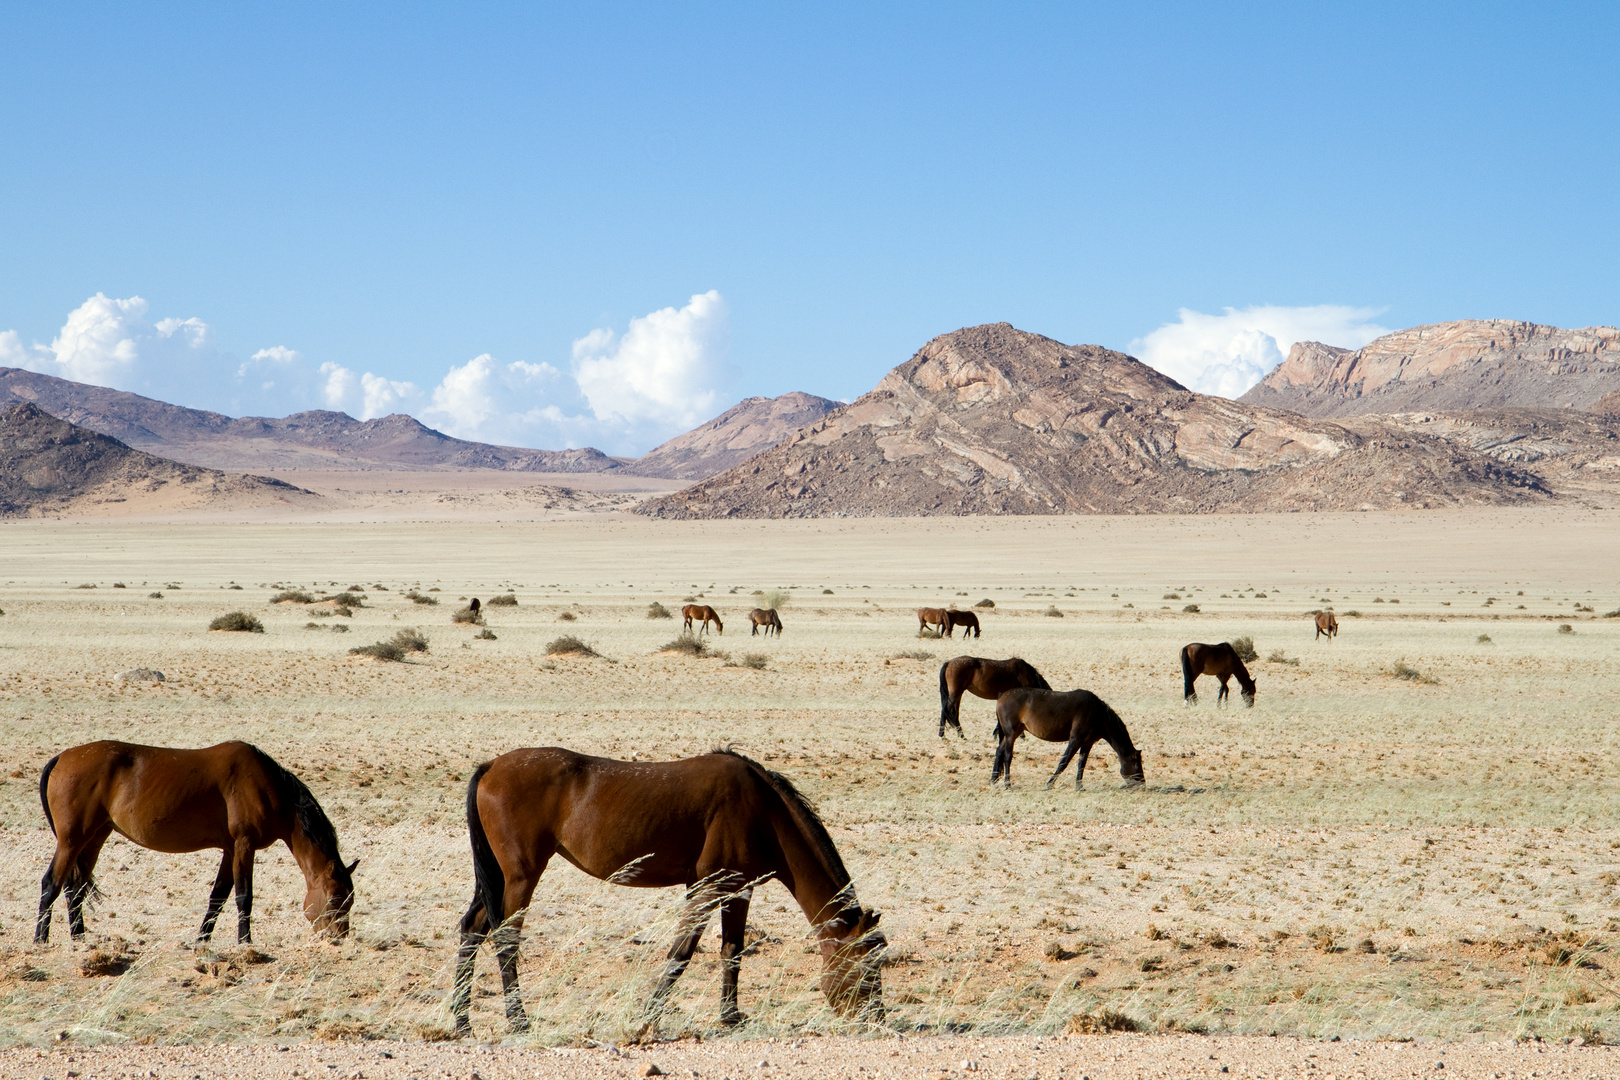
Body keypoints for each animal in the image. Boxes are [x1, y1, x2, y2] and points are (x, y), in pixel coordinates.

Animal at [34, 744, 358, 945]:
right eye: (333, 899)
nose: (337, 937)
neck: (266, 786)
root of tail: (61, 758)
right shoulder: (244, 845)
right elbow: (244, 897)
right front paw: (245, 942)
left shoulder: (230, 849)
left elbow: (218, 897)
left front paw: (202, 940)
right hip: (72, 840)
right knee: (52, 883)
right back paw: (40, 940)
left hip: (94, 837)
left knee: (74, 888)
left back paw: (79, 939)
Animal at [450, 744, 887, 1036]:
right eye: (869, 966)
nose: (875, 1020)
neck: (762, 810)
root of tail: (491, 767)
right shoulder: (708, 888)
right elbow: (682, 953)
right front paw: (647, 1018)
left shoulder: (737, 890)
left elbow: (732, 952)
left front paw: (730, 1018)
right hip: (521, 876)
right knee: (506, 939)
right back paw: (518, 1020)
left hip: (499, 879)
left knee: (473, 929)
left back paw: (461, 1019)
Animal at [984, 689, 1140, 790]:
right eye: (1136, 763)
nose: (1142, 784)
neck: (1098, 713)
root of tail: (1001, 696)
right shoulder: (1075, 739)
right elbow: (1064, 762)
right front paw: (1049, 784)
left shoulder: (1087, 743)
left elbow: (1081, 764)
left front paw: (1079, 786)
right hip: (1011, 734)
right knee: (1007, 756)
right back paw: (1007, 784)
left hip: (1013, 733)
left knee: (999, 751)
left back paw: (993, 780)